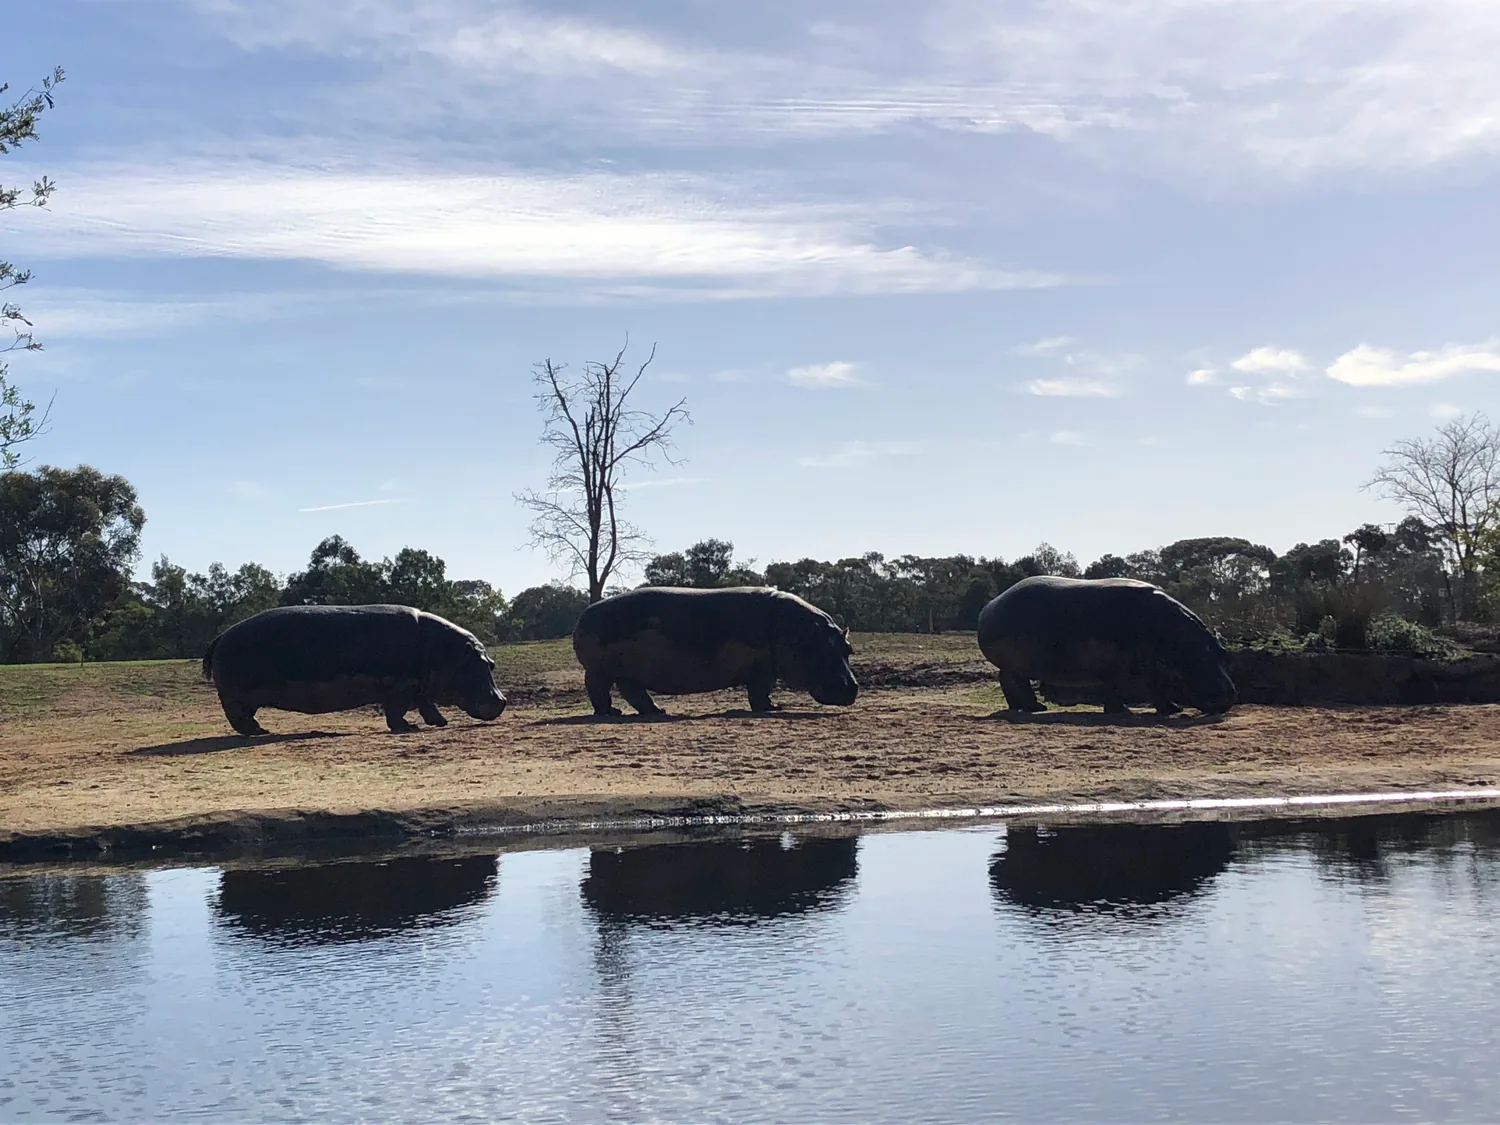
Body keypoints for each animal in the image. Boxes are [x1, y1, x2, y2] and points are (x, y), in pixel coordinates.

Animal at [202, 604, 508, 735]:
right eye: (477, 665)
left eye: (490, 663)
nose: (502, 701)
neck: (444, 652)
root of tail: (220, 636)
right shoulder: (399, 688)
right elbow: (397, 712)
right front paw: (408, 727)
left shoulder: (416, 688)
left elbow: (426, 705)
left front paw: (439, 723)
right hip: (235, 694)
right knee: (238, 716)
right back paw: (260, 732)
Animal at [572, 586, 858, 716]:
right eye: (822, 649)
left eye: (848, 648)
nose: (852, 688)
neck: (796, 631)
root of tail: (583, 616)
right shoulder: (761, 670)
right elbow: (759, 692)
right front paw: (774, 708)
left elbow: (760, 692)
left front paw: (773, 707)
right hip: (600, 670)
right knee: (599, 692)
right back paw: (612, 713)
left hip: (627, 672)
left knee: (634, 693)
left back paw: (657, 711)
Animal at [976, 576, 1237, 715]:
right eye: (1200, 657)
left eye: (1223, 652)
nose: (1230, 695)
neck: (1178, 638)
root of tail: (990, 605)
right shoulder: (1136, 665)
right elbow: (1145, 687)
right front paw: (1169, 710)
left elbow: (1127, 687)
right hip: (1017, 663)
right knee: (1017, 683)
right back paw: (1036, 708)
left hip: (1014, 665)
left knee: (1007, 681)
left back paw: (1024, 707)